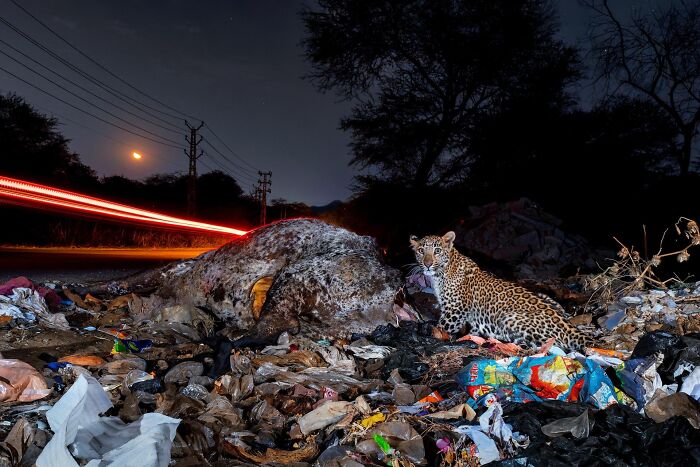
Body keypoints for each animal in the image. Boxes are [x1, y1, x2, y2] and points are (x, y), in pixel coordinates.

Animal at [410, 231, 594, 352]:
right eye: (421, 251)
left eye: (437, 251)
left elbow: (441, 327)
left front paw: (429, 332)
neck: (440, 275)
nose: (427, 264)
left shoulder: (454, 311)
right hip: (546, 297)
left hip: (509, 318)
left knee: (547, 345)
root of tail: (566, 324)